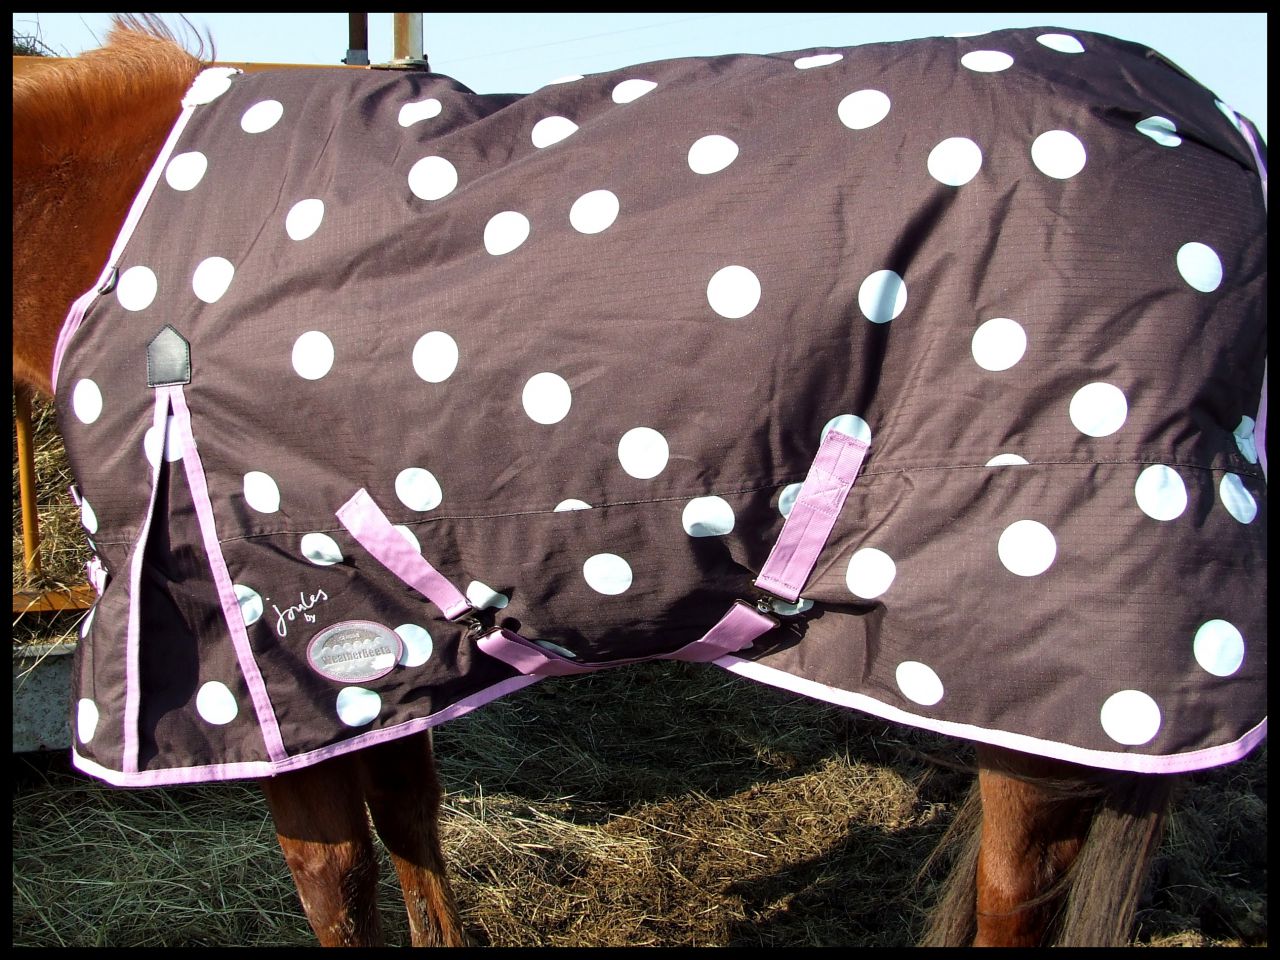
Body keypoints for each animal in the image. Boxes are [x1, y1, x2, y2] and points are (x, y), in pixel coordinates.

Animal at [12, 16, 1266, 947]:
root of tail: (1220, 125)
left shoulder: (260, 654)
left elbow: (336, 882)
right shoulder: (373, 651)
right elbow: (413, 836)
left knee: (1020, 890)